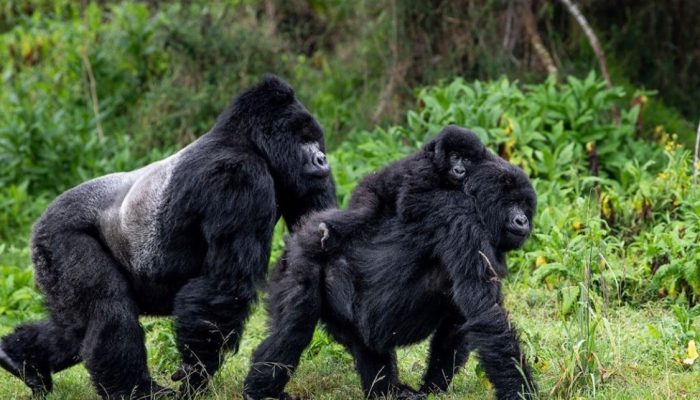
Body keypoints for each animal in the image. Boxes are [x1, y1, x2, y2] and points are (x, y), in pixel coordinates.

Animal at [0, 75, 340, 396]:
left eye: (315, 139)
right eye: (303, 140)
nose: (322, 159)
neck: (248, 141)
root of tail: (41, 219)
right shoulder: (238, 177)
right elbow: (224, 285)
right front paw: (198, 369)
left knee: (74, 328)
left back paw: (20, 359)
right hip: (58, 236)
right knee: (107, 310)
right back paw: (136, 390)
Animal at [243, 127, 540, 400]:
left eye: (525, 205)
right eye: (511, 203)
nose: (522, 221)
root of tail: (300, 232)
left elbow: (459, 324)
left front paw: (431, 389)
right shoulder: (462, 220)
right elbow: (486, 313)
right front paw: (522, 390)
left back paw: (386, 390)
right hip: (301, 259)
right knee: (294, 327)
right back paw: (261, 390)